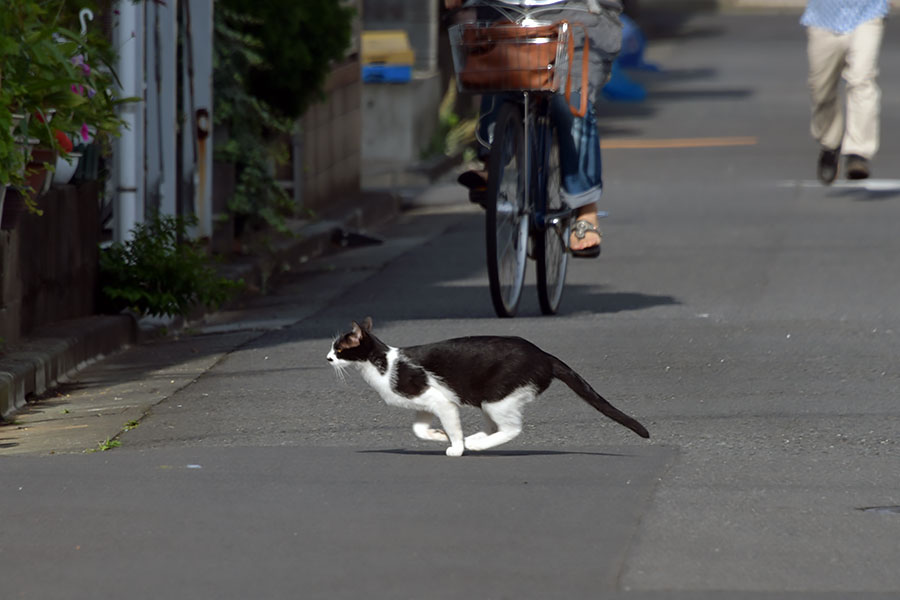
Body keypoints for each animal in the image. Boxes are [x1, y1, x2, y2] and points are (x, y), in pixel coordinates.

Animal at [326, 318, 652, 454]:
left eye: (339, 349)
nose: (327, 357)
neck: (382, 365)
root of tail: (544, 355)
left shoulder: (441, 401)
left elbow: (450, 425)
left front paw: (455, 447)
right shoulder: (425, 405)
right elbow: (418, 429)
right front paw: (438, 435)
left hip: (497, 396)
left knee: (511, 429)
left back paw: (476, 444)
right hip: (488, 398)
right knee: (496, 426)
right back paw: (475, 439)